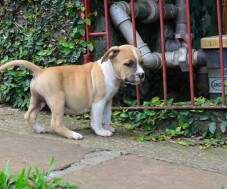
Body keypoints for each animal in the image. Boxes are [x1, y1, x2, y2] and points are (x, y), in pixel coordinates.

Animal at [0, 44, 145, 139]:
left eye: (141, 62)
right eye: (128, 63)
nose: (142, 74)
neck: (110, 70)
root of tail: (40, 71)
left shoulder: (108, 101)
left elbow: (106, 116)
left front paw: (107, 127)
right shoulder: (98, 102)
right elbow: (97, 118)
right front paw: (100, 131)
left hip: (38, 100)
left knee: (29, 115)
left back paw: (39, 129)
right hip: (58, 99)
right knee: (56, 123)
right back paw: (73, 135)